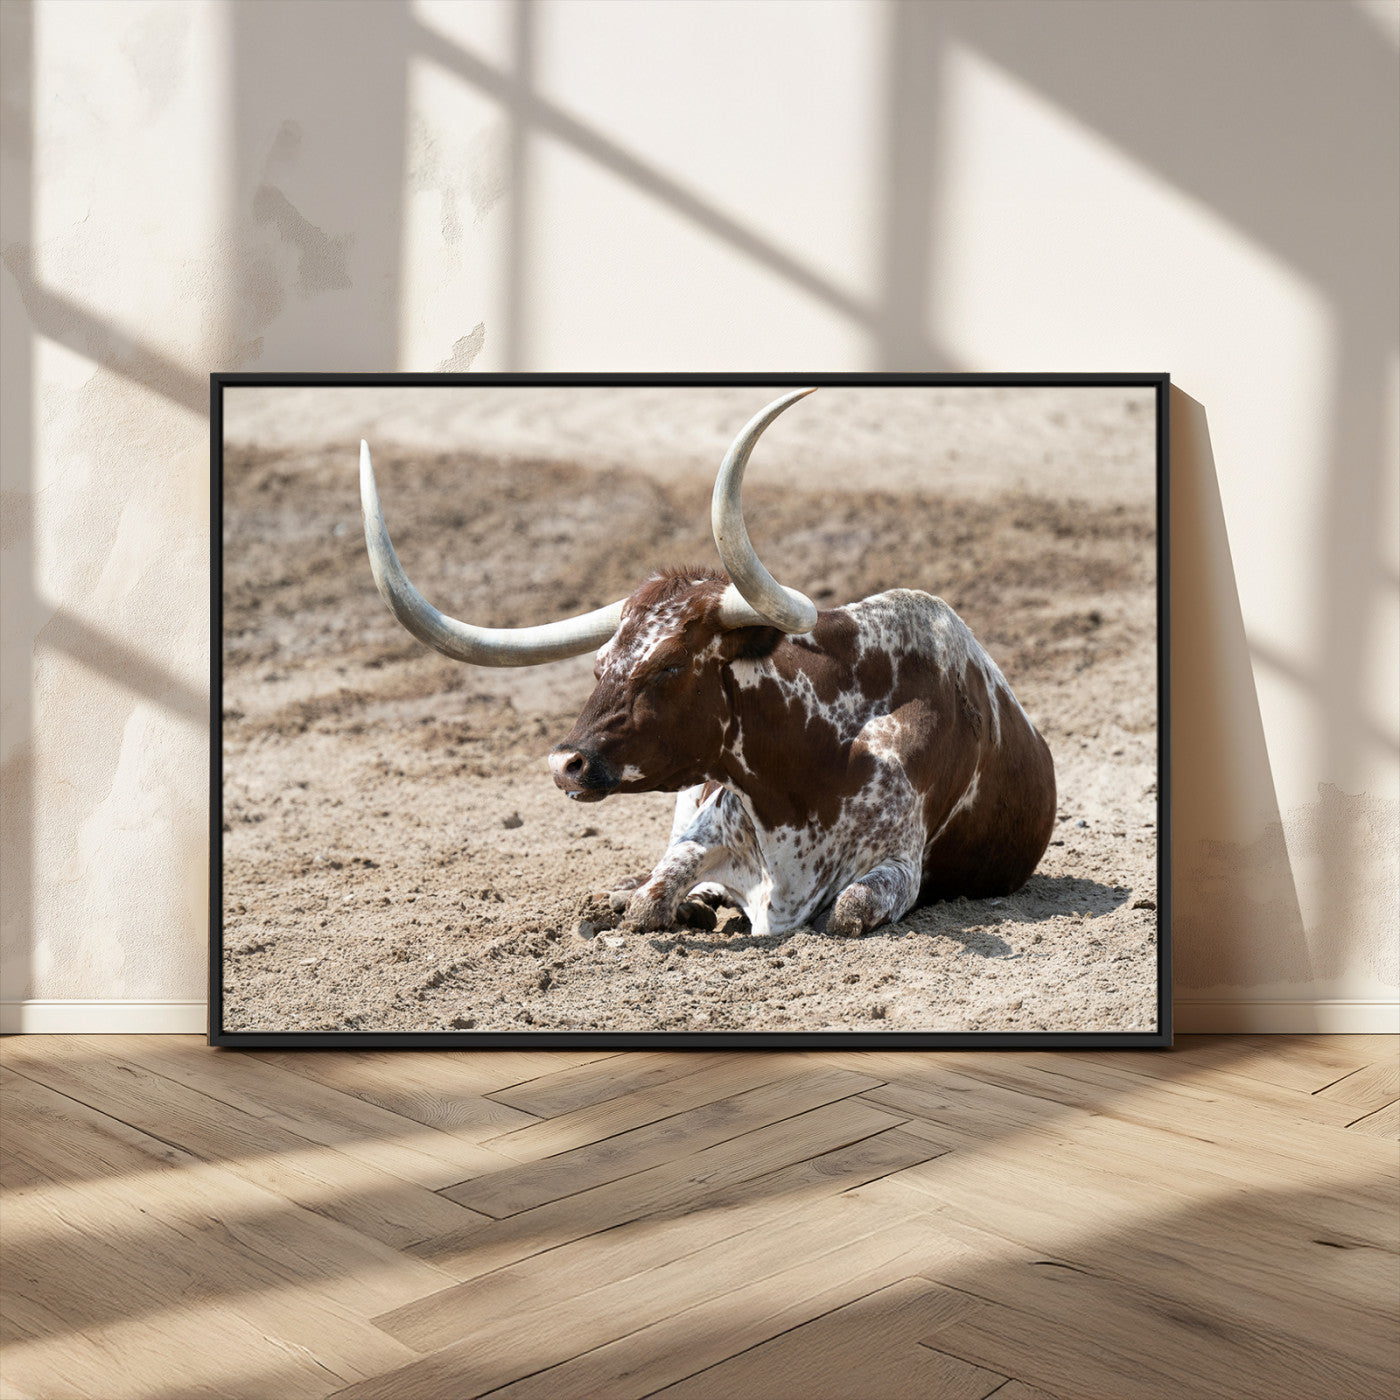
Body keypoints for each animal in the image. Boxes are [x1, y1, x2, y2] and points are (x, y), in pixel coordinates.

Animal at [360, 388, 1056, 938]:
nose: (565, 764)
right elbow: (651, 898)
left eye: (669, 665)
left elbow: (849, 910)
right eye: (600, 665)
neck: (812, 765)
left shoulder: (899, 868)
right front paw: (660, 903)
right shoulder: (705, 828)